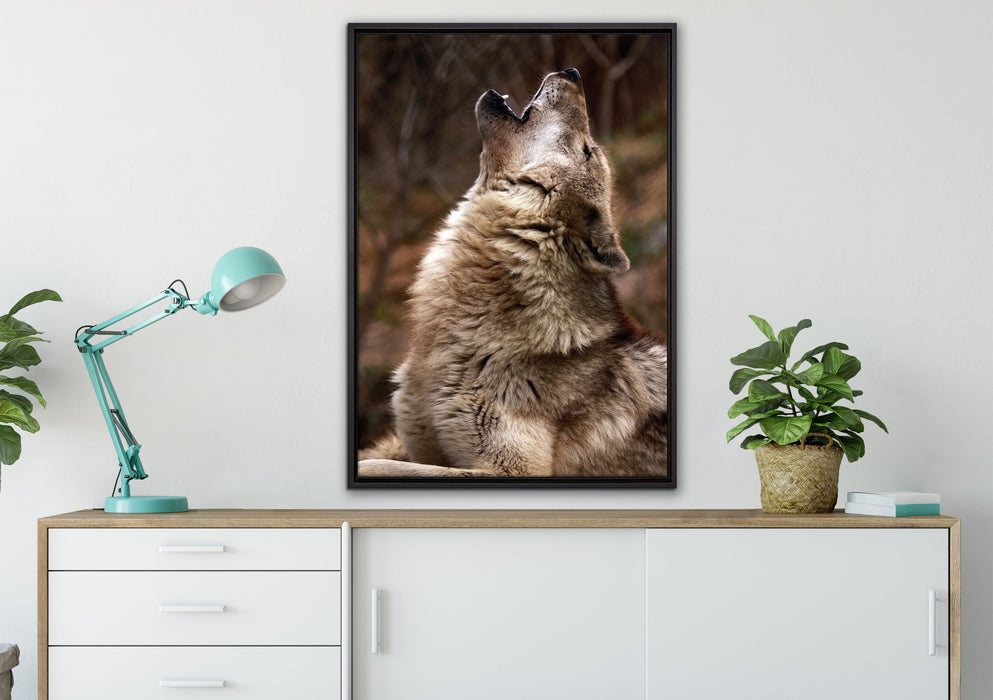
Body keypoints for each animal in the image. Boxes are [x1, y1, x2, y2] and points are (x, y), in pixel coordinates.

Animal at [359, 68, 667, 478]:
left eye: (587, 150)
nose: (573, 73)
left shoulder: (511, 469)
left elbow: (381, 465)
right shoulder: (419, 443)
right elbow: (387, 456)